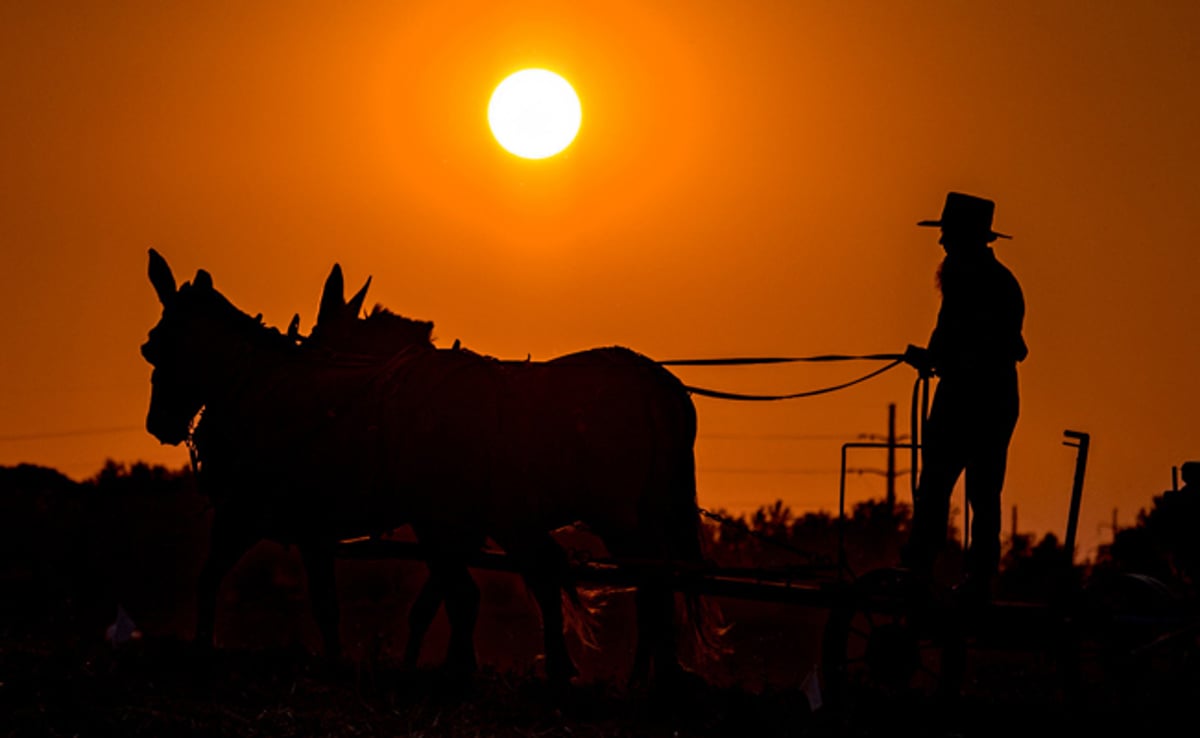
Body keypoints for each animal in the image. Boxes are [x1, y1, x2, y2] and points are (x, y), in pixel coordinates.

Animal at [140, 249, 720, 686]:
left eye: (155, 347)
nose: (160, 424)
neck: (259, 389)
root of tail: (652, 379)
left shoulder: (263, 517)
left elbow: (224, 582)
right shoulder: (438, 527)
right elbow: (418, 600)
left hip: (614, 516)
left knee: (646, 579)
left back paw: (649, 675)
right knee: (633, 579)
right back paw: (643, 673)